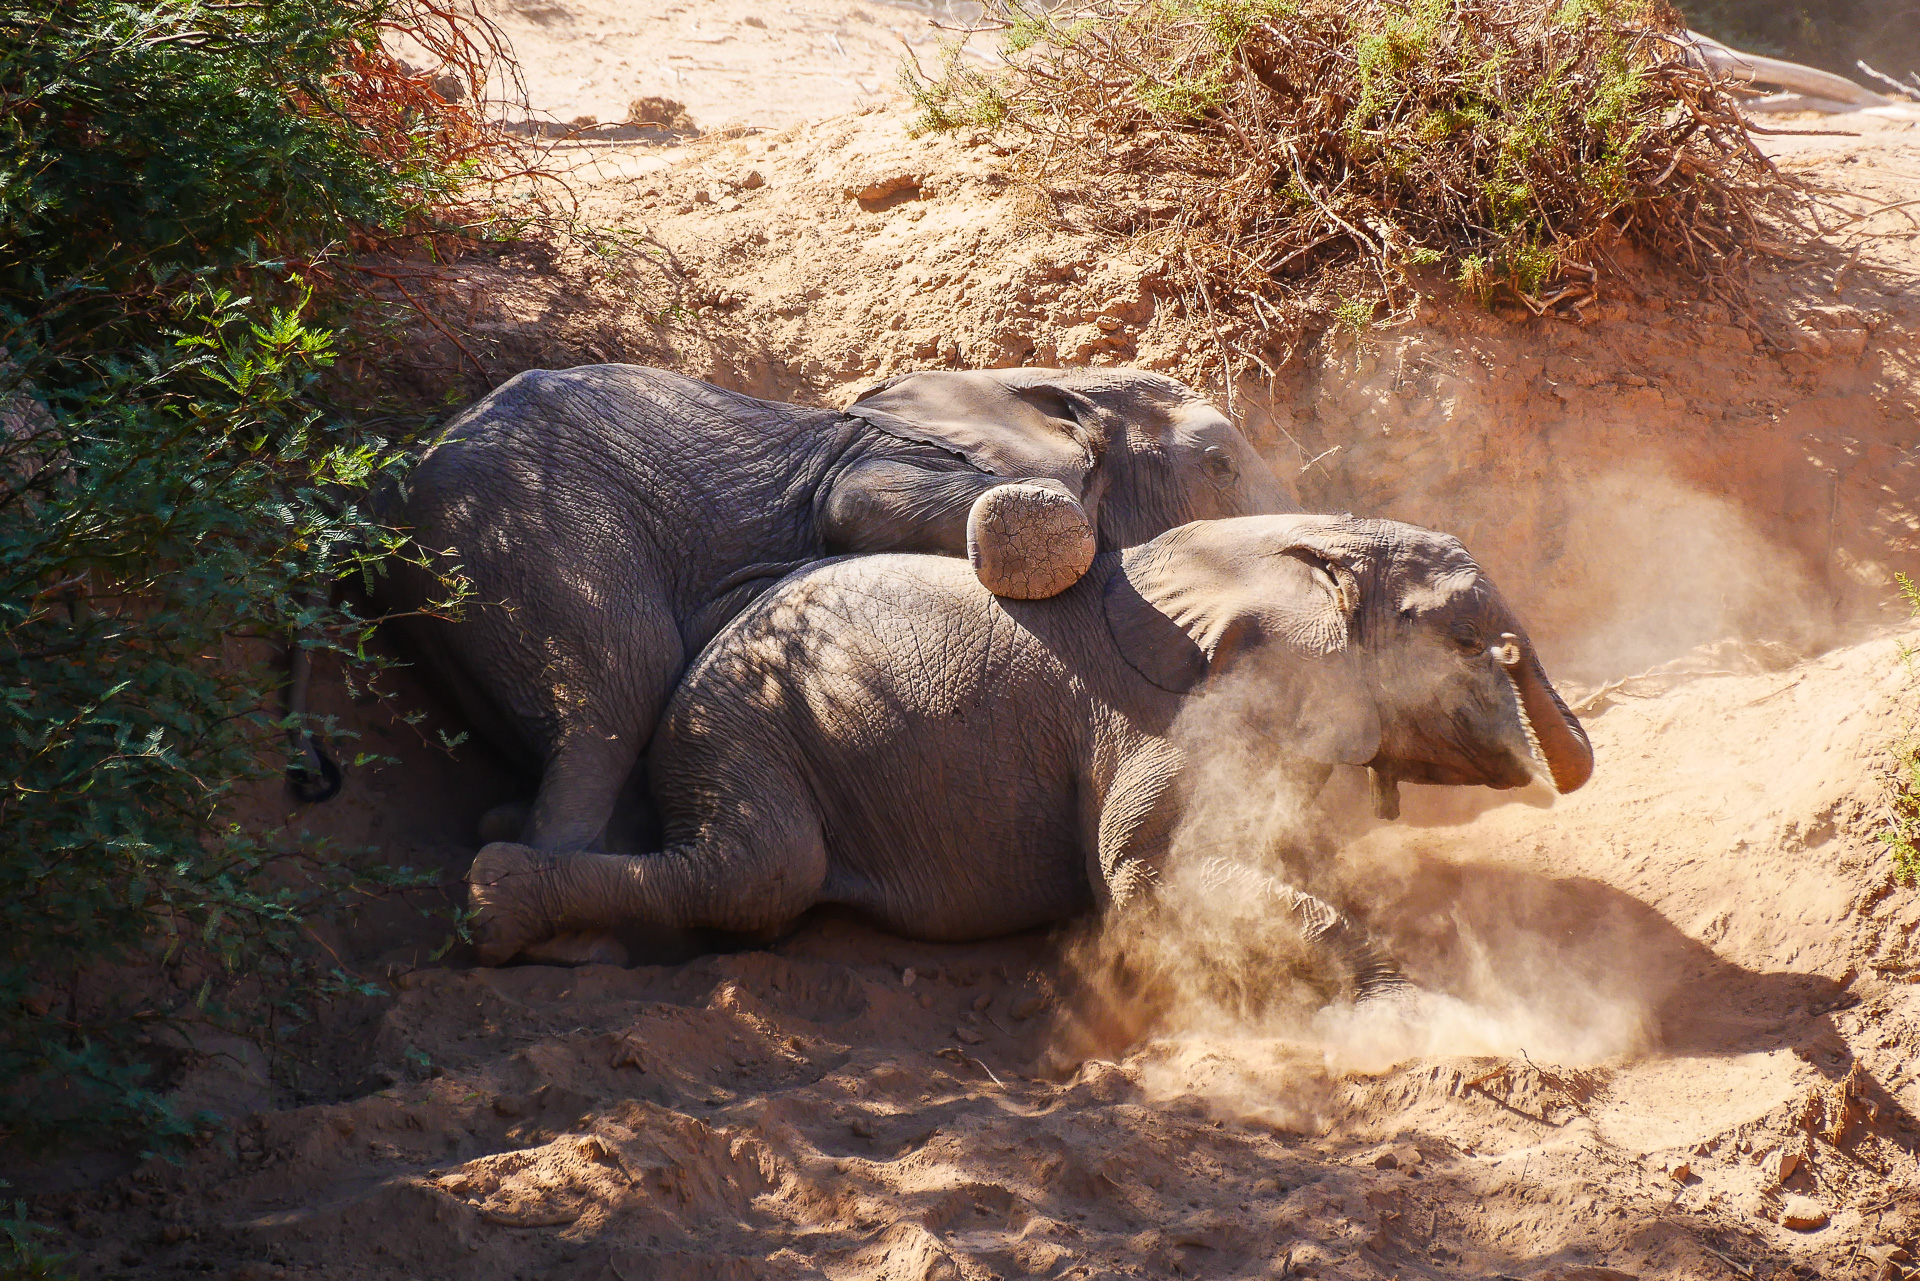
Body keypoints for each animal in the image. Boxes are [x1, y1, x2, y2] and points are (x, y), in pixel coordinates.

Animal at [372, 364, 1290, 856]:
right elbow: (863, 504)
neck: (1054, 387)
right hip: (538, 522)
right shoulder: (890, 460)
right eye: (1219, 465)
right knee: (615, 685)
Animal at [460, 514, 1589, 998]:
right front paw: (1403, 1002)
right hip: (744, 726)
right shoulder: (1170, 720)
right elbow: (1141, 878)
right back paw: (500, 906)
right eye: (1462, 635)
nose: (1512, 654)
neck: (1294, 542)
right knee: (761, 875)